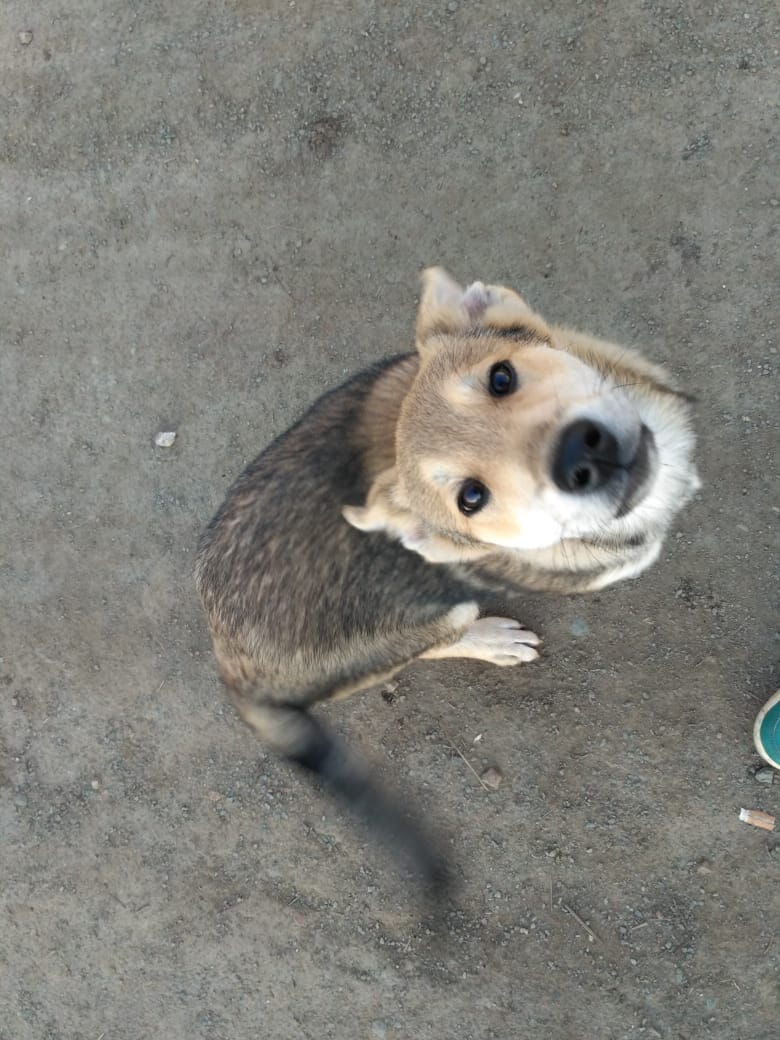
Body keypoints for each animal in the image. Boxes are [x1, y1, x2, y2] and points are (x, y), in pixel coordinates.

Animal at [195, 267, 700, 889]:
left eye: (501, 376)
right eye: (471, 498)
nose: (580, 455)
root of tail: (227, 657)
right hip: (421, 624)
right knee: (439, 641)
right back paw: (493, 639)